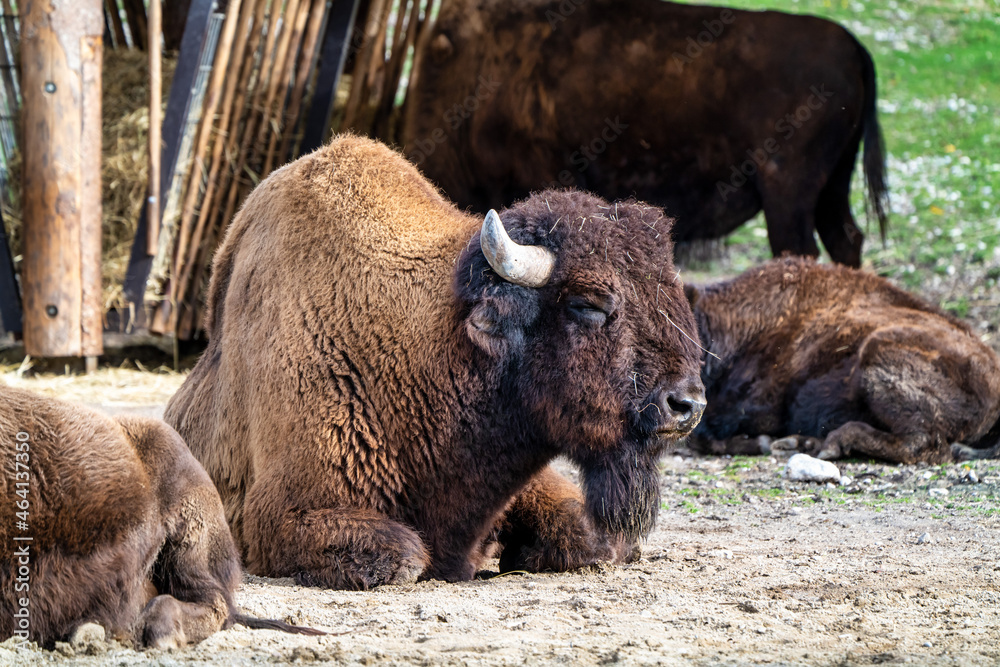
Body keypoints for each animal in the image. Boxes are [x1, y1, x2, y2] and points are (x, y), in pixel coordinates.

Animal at [165, 135, 705, 589]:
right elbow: (402, 555)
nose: (687, 405)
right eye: (588, 304)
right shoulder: (283, 512)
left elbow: (588, 536)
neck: (436, 346)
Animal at [686, 258, 1000, 464]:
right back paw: (805, 442)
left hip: (877, 352)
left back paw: (832, 444)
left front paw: (763, 443)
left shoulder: (760, 408)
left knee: (926, 444)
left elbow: (702, 435)